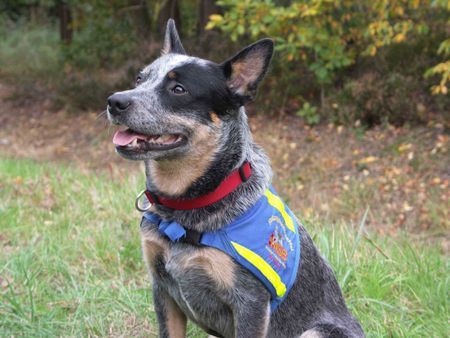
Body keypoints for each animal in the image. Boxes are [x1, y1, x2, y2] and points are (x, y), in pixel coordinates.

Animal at [107, 19, 364, 338]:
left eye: (178, 89)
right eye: (140, 79)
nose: (115, 101)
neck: (183, 209)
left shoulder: (250, 303)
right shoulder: (162, 289)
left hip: (315, 332)